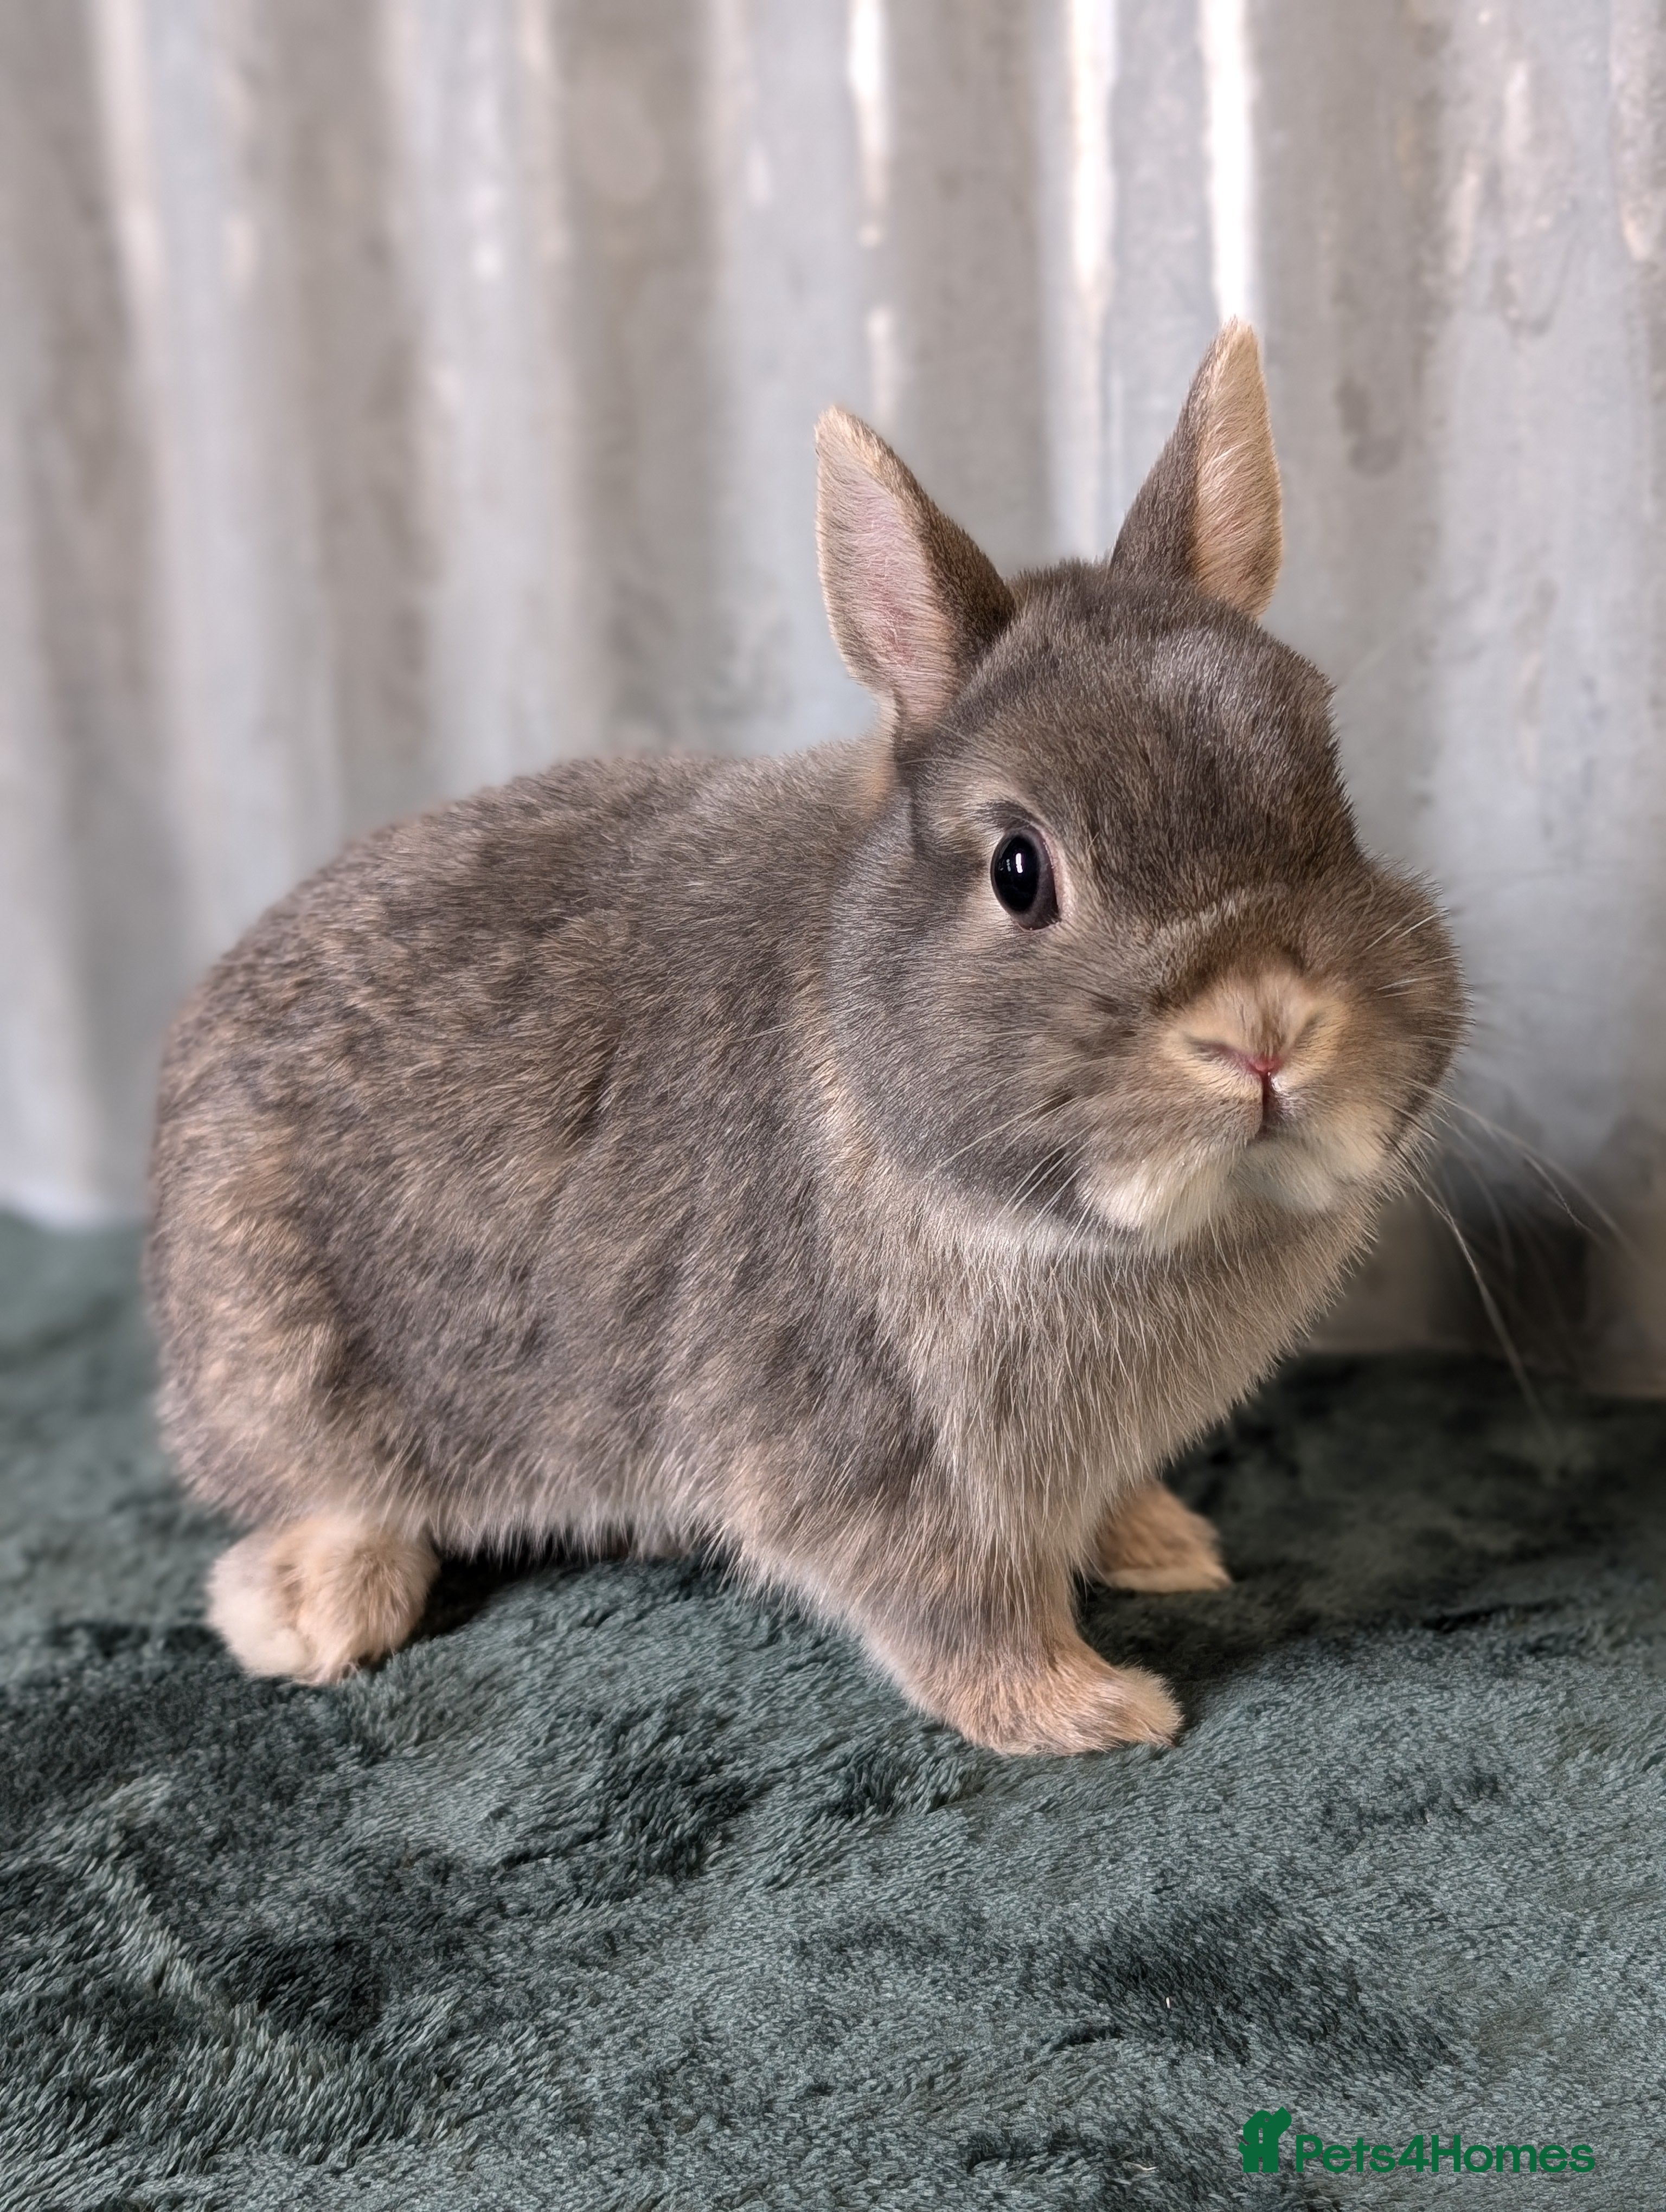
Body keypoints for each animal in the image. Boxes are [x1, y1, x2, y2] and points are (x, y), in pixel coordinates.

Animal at [145, 322, 1463, 1754]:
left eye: (1330, 793)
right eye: (1019, 869)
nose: (1266, 1031)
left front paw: (1166, 1549)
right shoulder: (859, 1448)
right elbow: (956, 1603)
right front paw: (1088, 1709)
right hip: (295, 1369)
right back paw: (320, 1614)